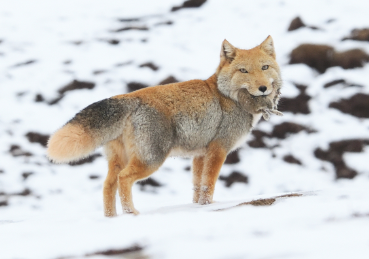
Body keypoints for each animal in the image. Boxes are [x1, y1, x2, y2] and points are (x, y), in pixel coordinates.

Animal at [46, 36, 282, 217]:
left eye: (265, 67)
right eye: (243, 71)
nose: (263, 88)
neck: (228, 97)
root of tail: (129, 96)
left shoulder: (200, 155)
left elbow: (197, 188)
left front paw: (197, 208)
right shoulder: (218, 150)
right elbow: (208, 186)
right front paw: (207, 207)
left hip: (120, 160)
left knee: (107, 186)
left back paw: (112, 219)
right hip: (151, 160)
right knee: (124, 179)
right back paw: (131, 214)